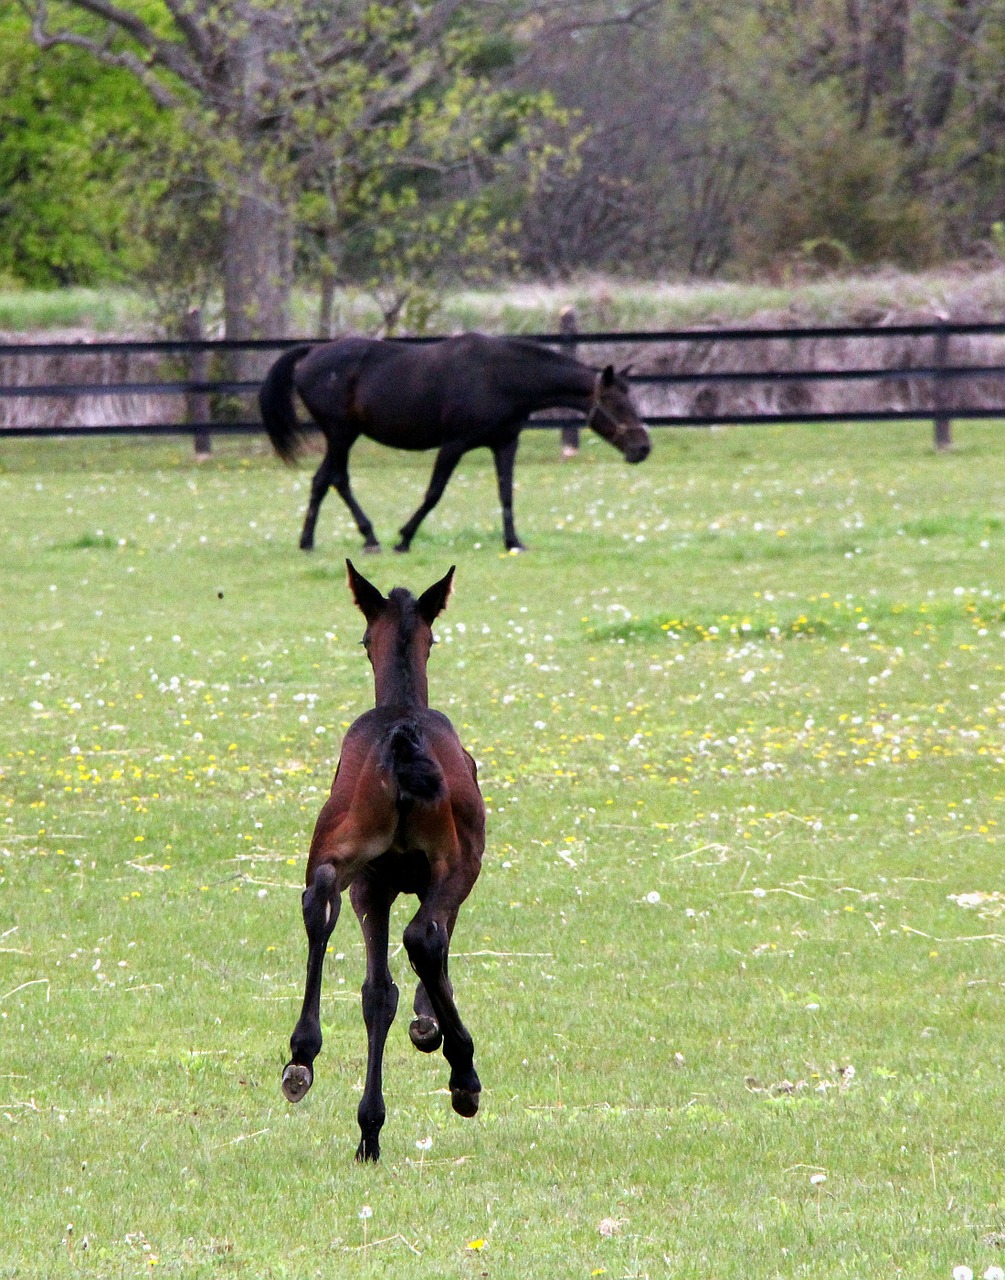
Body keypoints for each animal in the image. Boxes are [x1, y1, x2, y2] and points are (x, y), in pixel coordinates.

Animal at [258, 330, 650, 550]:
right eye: (617, 403)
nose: (643, 448)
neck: (501, 377)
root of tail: (311, 353)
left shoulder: (505, 443)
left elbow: (506, 494)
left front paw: (513, 542)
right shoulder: (454, 445)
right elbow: (434, 493)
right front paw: (404, 538)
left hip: (342, 436)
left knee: (325, 480)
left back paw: (319, 540)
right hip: (341, 434)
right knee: (335, 478)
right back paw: (362, 539)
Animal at [281, 560, 486, 1162]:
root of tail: (400, 736)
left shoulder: (374, 886)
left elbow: (378, 994)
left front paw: (369, 1126)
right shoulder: (457, 874)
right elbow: (432, 957)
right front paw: (431, 1028)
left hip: (349, 860)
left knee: (319, 898)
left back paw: (302, 1058)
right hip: (450, 866)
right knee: (423, 938)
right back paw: (464, 1076)